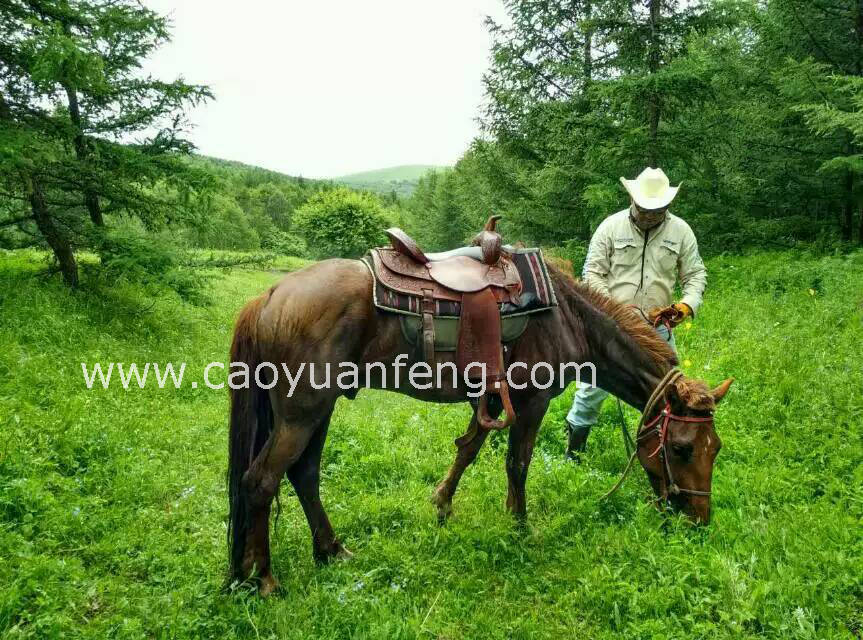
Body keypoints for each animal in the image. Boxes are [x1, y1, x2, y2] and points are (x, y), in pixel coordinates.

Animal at [226, 256, 732, 596]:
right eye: (683, 448)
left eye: (717, 447)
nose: (699, 519)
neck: (568, 316)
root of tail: (268, 297)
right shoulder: (531, 401)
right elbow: (517, 463)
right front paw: (520, 527)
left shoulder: (491, 397)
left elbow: (468, 448)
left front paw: (442, 505)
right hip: (301, 413)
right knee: (261, 480)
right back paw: (266, 579)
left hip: (320, 409)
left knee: (304, 475)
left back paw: (331, 551)